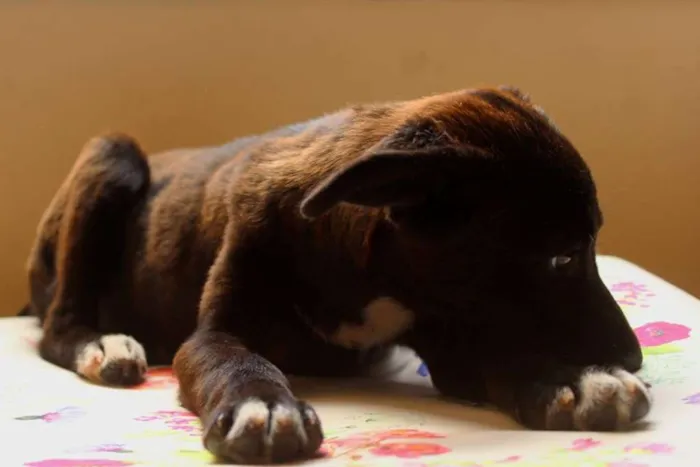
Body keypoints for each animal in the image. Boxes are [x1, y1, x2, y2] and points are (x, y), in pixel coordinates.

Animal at [26, 87, 652, 464]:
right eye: (563, 258)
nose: (635, 357)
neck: (369, 275)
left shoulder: (452, 338)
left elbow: (506, 357)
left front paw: (577, 382)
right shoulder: (212, 335)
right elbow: (236, 360)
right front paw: (265, 404)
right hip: (113, 156)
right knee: (55, 329)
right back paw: (102, 346)